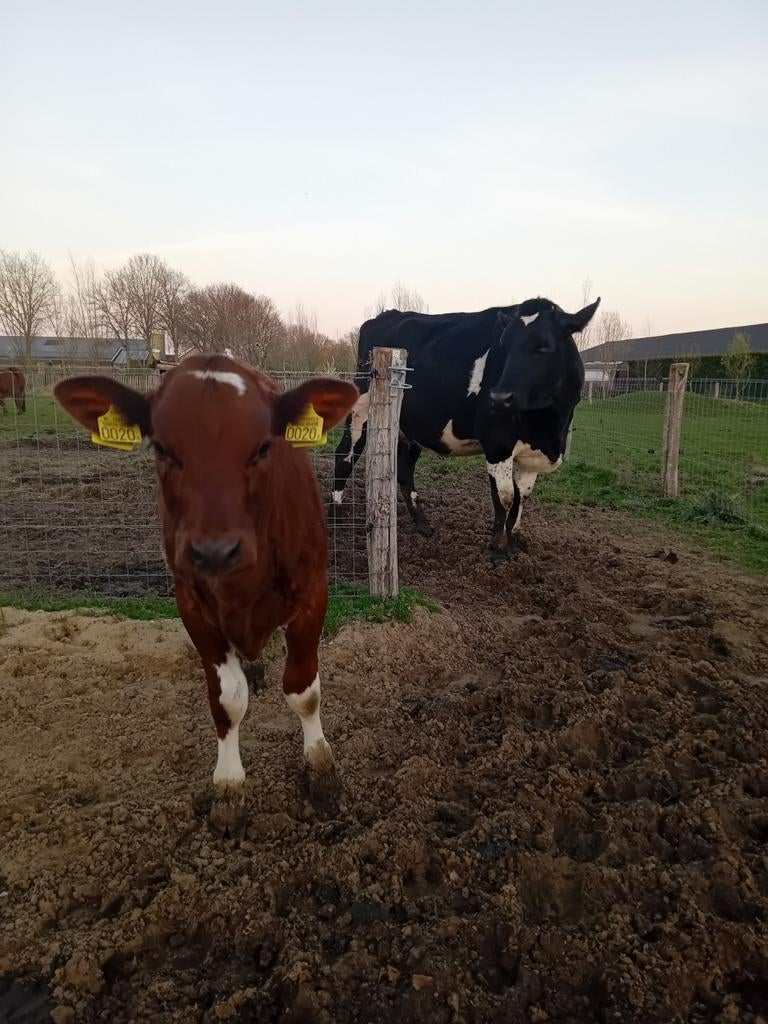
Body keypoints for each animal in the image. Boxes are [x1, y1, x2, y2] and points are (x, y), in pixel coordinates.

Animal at [54, 355, 358, 834]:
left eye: (264, 447)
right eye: (161, 448)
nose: (214, 550)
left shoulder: (314, 593)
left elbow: (304, 692)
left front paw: (322, 770)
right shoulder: (191, 605)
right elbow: (227, 701)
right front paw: (229, 787)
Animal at [332, 297, 600, 565]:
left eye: (544, 347)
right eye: (504, 346)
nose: (499, 397)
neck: (548, 426)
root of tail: (387, 315)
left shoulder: (533, 454)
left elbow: (521, 498)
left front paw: (513, 543)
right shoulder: (497, 444)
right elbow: (504, 498)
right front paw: (498, 550)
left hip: (410, 428)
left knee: (405, 471)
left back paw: (422, 523)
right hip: (361, 410)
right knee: (345, 455)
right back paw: (336, 516)